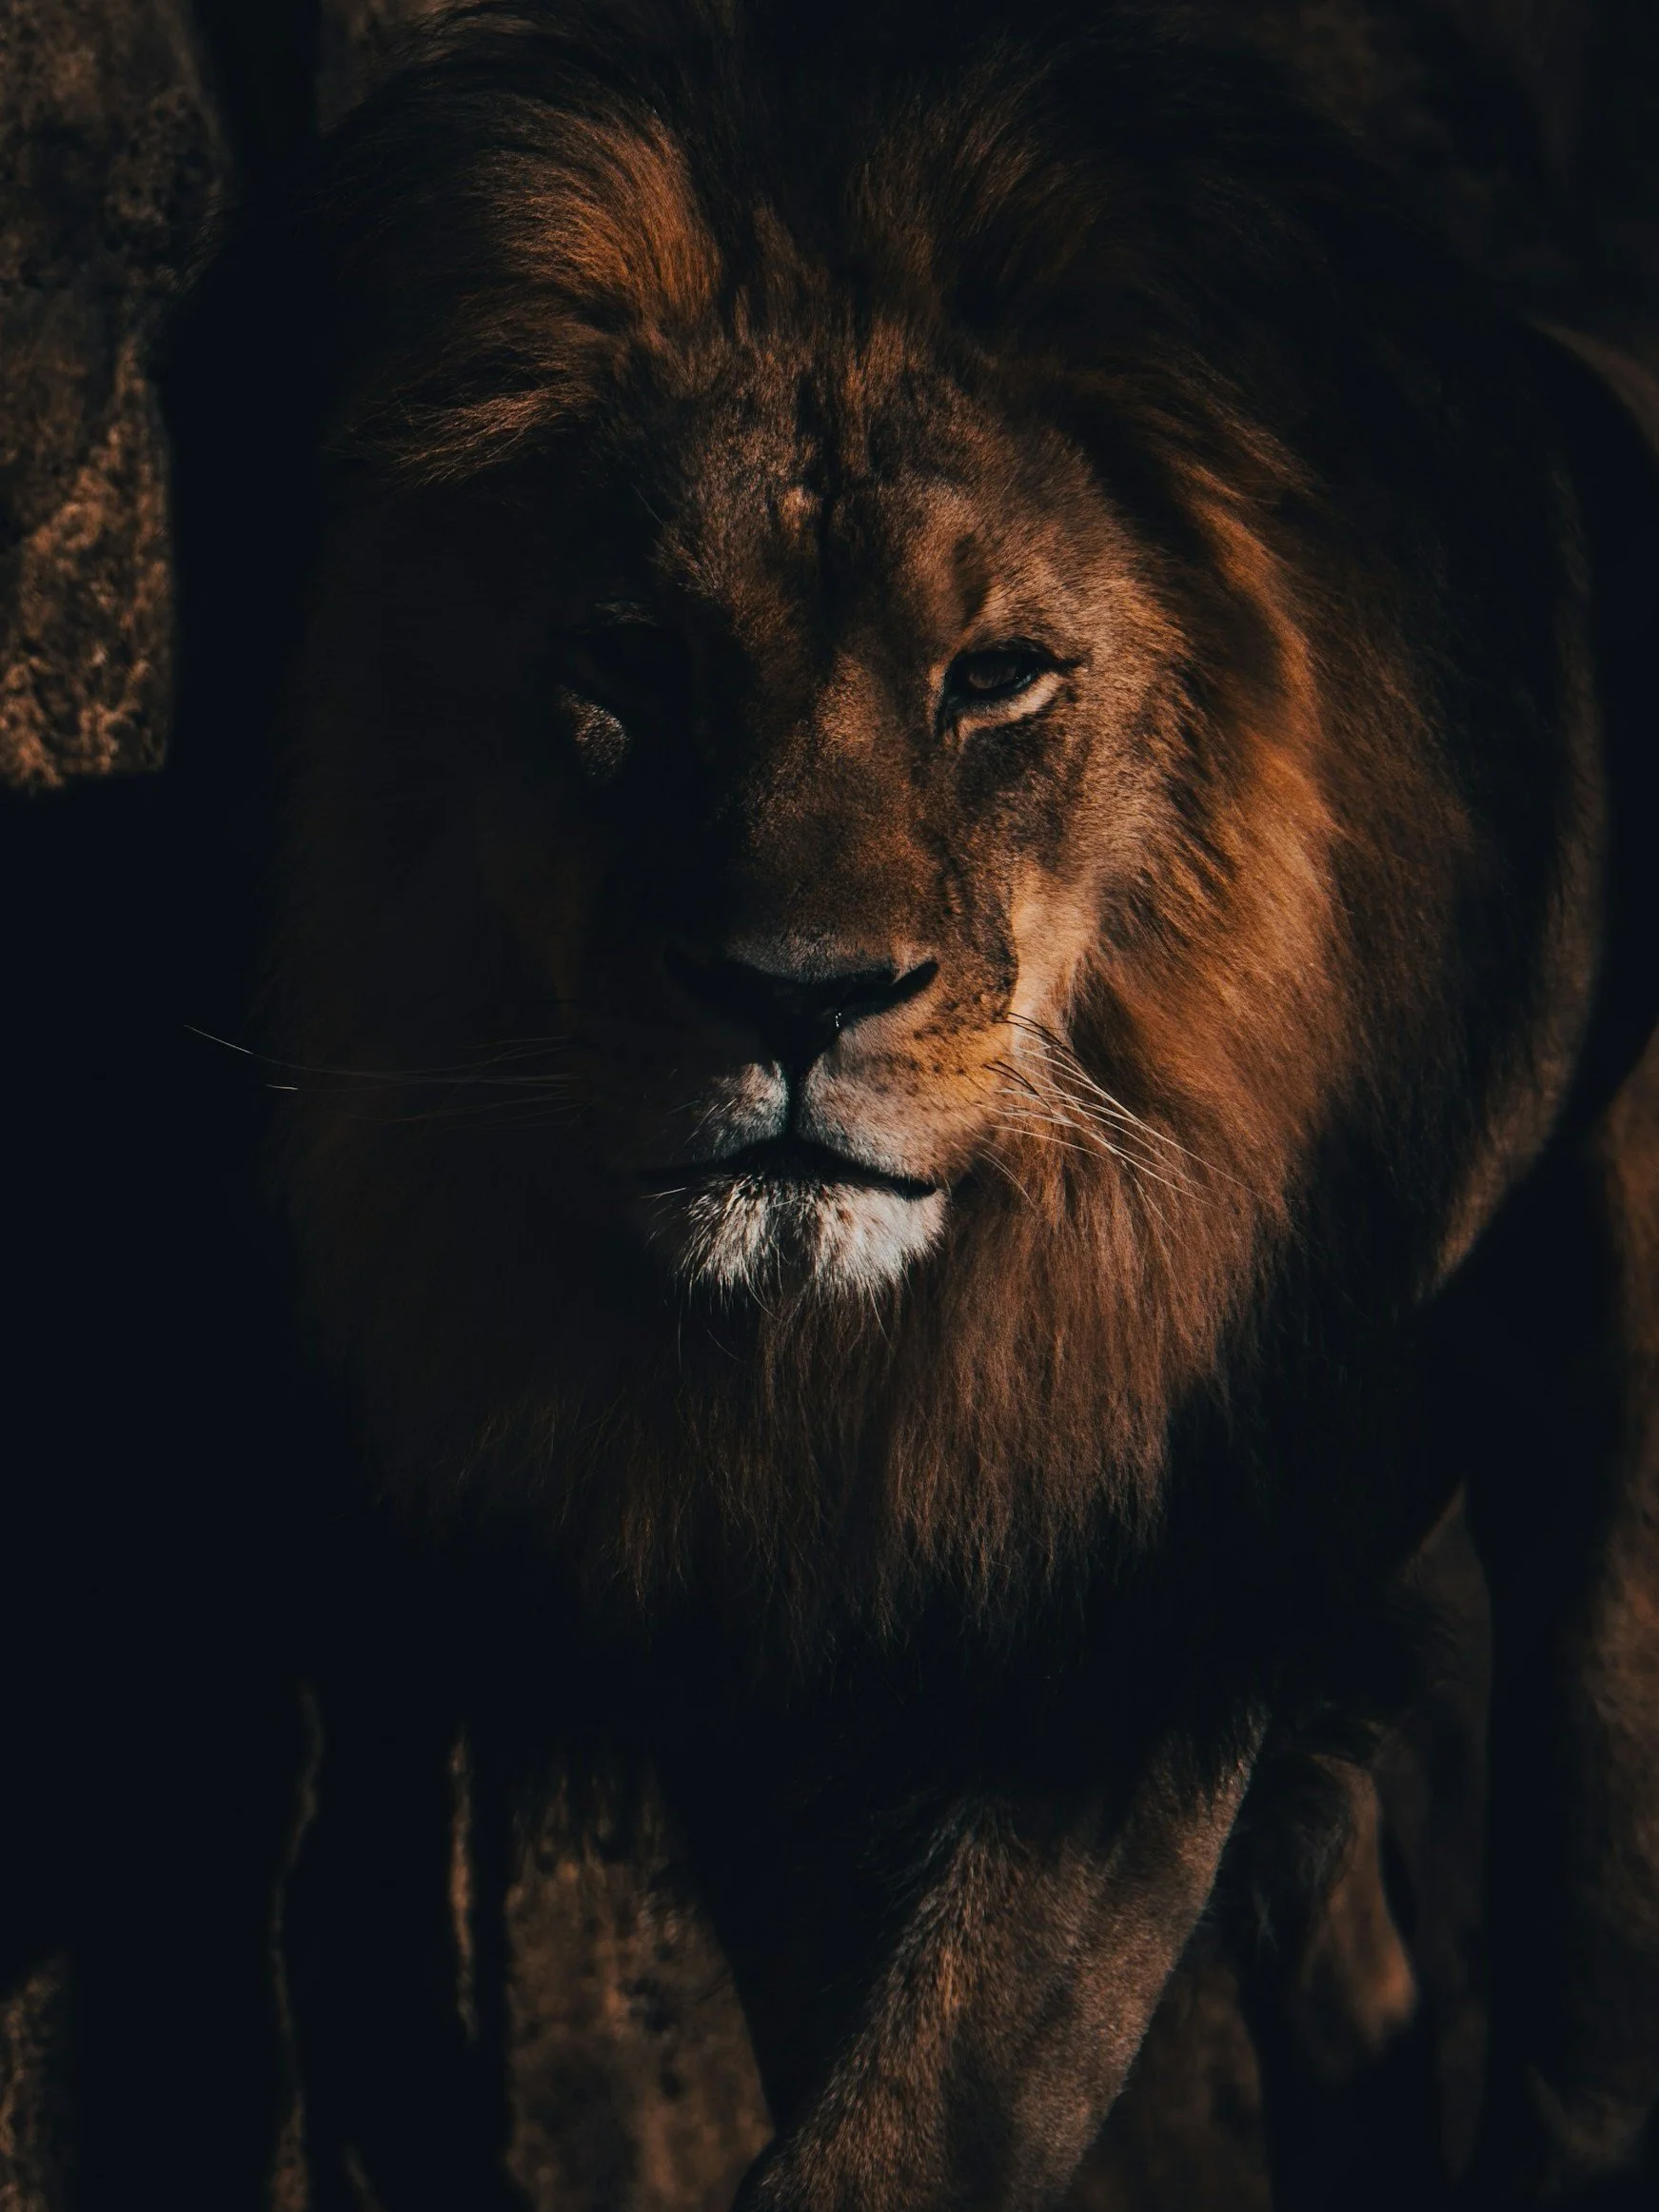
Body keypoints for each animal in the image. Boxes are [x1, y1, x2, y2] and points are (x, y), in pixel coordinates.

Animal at [245, 0, 1659, 2202]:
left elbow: (917, 2117)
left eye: (995, 675)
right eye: (630, 659)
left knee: (1577, 1992)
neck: (866, 1352)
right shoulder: (773, 1651)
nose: (793, 994)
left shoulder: (1142, 1617)